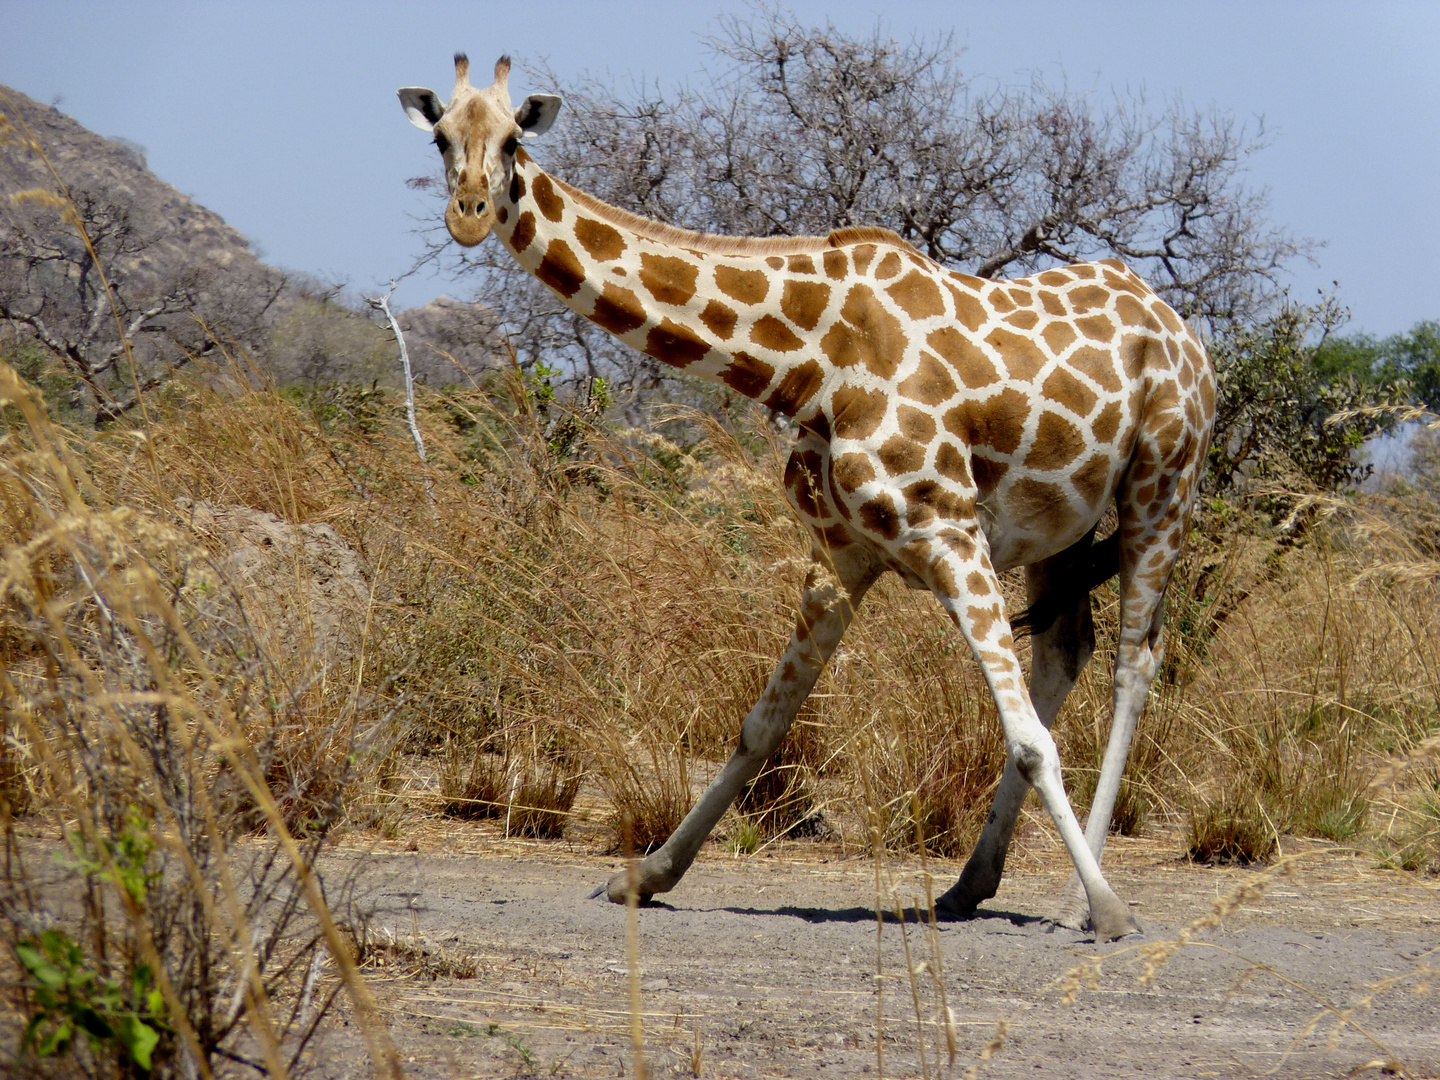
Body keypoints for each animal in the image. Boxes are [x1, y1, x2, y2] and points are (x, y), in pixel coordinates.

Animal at [397, 55, 1215, 944]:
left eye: (514, 140)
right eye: (442, 138)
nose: (470, 214)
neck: (809, 358)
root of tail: (1186, 332)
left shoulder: (948, 529)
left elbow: (1029, 738)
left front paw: (1110, 908)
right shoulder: (841, 554)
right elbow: (761, 724)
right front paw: (645, 874)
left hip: (1161, 488)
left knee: (1137, 660)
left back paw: (1077, 897)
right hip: (1058, 530)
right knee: (1066, 648)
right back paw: (971, 884)